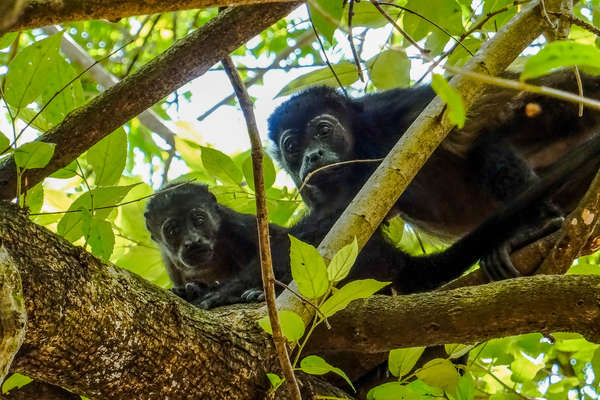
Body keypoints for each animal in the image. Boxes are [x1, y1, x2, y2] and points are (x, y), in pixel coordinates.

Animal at [144, 131, 600, 310]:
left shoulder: (237, 229)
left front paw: (220, 294)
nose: (192, 243)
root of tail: (395, 259)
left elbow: (280, 243)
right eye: (172, 229)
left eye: (199, 219)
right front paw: (188, 290)